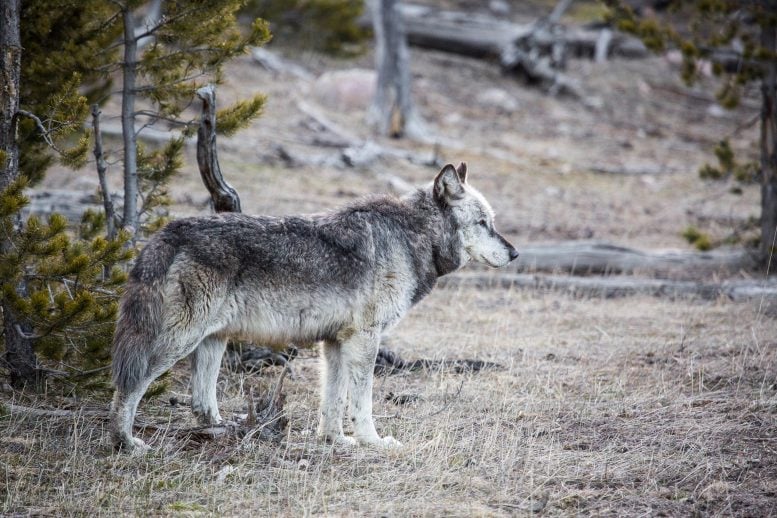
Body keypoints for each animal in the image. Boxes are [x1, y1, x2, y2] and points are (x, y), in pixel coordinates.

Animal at [109, 165, 520, 452]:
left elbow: (332, 401)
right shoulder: (365, 339)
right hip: (179, 342)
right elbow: (362, 402)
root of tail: (166, 232)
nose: (515, 253)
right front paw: (373, 442)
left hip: (212, 342)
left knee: (200, 403)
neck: (412, 235)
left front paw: (335, 441)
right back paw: (126, 442)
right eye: (483, 223)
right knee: (129, 384)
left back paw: (228, 431)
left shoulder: (335, 342)